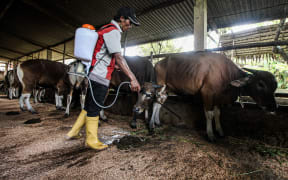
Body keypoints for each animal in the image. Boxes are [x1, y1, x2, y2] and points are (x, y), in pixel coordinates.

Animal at [134, 51, 278, 141]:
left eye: (275, 86)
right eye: (260, 84)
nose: (272, 107)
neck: (227, 74)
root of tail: (158, 63)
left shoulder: (218, 97)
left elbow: (218, 113)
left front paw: (220, 131)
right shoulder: (207, 93)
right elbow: (209, 114)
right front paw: (210, 134)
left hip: (166, 89)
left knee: (160, 102)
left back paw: (157, 122)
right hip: (159, 85)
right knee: (155, 102)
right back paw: (151, 125)